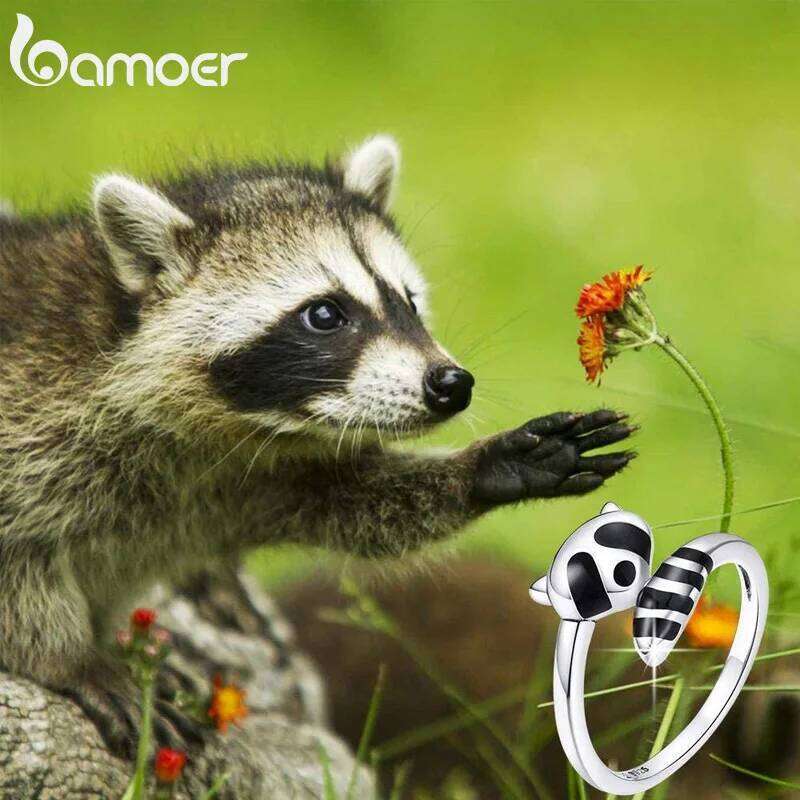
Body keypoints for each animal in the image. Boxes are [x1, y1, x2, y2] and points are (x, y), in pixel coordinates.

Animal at [0, 135, 636, 753]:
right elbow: (17, 562)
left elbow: (348, 501)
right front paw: (70, 659)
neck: (223, 428)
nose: (452, 385)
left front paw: (485, 468)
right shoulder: (32, 417)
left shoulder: (252, 476)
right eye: (325, 314)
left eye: (407, 301)